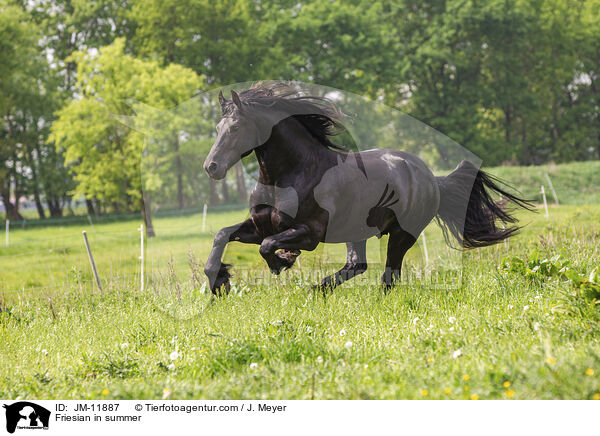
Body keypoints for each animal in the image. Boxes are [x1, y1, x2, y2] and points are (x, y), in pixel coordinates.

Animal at [202, 82, 528, 292]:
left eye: (235, 127)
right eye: (217, 128)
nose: (211, 167)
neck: (287, 176)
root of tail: (431, 179)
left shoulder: (309, 234)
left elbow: (268, 247)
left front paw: (283, 261)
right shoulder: (261, 226)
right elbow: (222, 235)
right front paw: (220, 282)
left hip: (402, 234)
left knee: (389, 276)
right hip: (355, 231)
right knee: (358, 265)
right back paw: (320, 289)